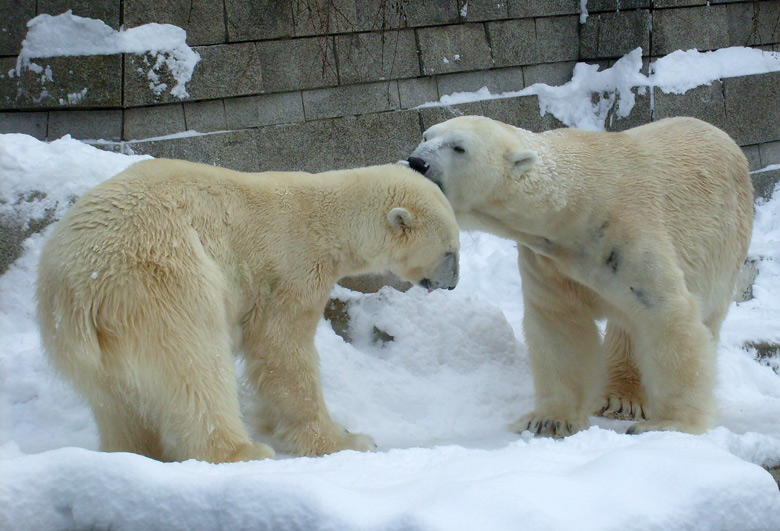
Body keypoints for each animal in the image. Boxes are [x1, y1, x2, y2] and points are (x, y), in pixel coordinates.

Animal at [36, 160, 460, 464]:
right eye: (449, 251)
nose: (454, 283)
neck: (327, 216)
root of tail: (78, 290)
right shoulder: (293, 267)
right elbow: (280, 348)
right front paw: (348, 439)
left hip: (81, 341)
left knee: (115, 401)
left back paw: (135, 452)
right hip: (160, 279)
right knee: (196, 366)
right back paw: (242, 451)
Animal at [408, 115, 756, 436]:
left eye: (459, 147)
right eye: (425, 136)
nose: (416, 162)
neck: (576, 206)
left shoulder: (628, 234)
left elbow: (667, 315)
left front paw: (670, 424)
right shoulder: (547, 261)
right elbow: (559, 328)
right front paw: (548, 420)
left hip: (724, 244)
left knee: (704, 317)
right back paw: (620, 399)